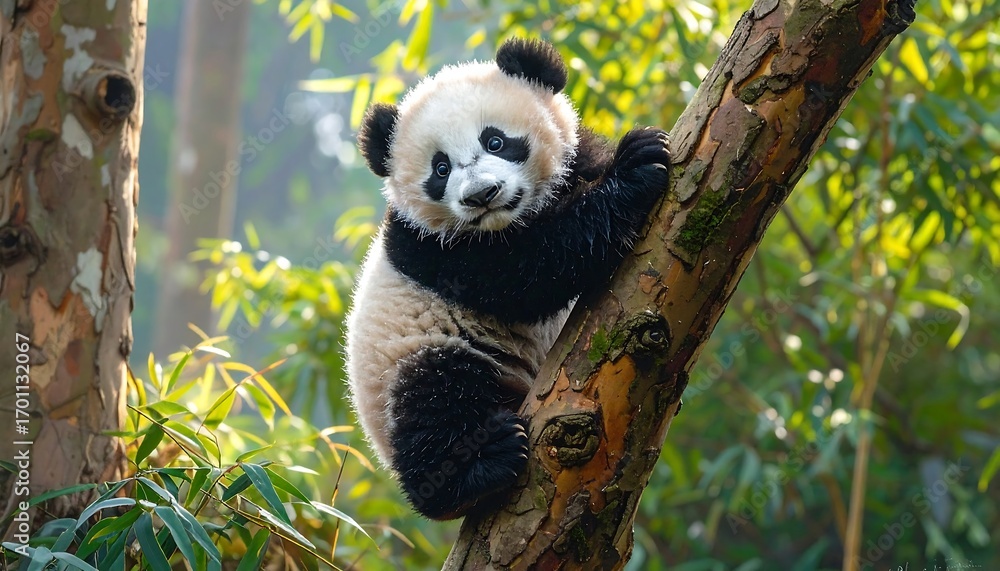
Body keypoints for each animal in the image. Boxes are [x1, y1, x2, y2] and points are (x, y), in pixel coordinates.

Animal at [345, 37, 670, 520]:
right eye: (440, 169)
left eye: (495, 140)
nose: (481, 195)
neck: (510, 221)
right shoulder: (431, 249)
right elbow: (527, 273)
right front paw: (635, 171)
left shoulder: (573, 162)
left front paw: (644, 150)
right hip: (407, 362)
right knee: (434, 396)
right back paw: (475, 470)